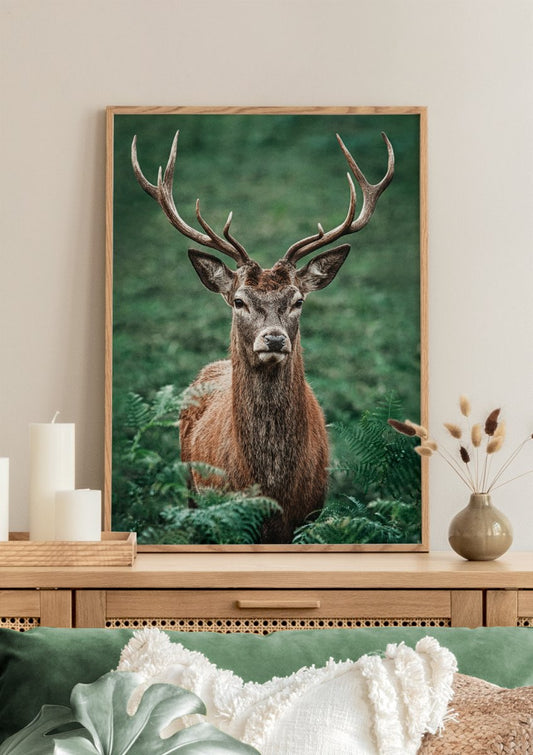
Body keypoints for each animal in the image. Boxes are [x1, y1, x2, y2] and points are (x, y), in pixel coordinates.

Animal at [131, 129, 394, 543]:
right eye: (239, 300)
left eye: (298, 300)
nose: (273, 339)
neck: (270, 487)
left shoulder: (307, 515)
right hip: (192, 491)